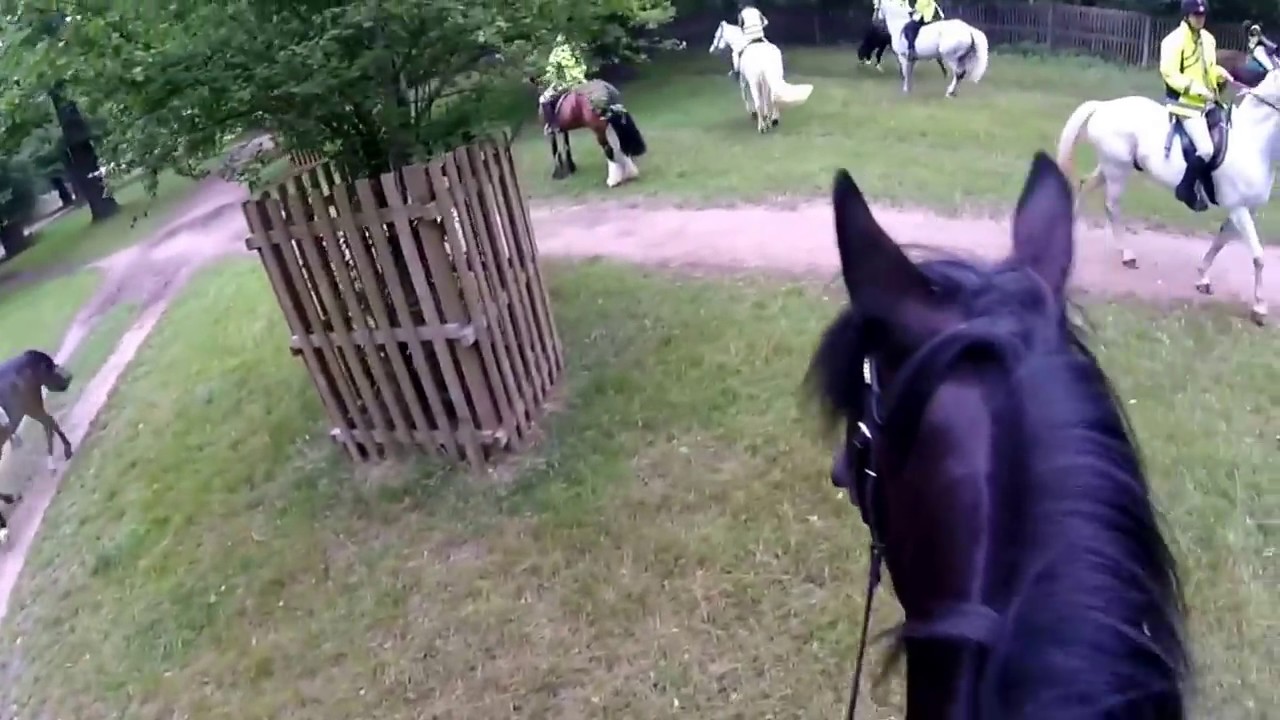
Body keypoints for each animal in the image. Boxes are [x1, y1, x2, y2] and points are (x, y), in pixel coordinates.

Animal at [0, 349, 74, 546]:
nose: (68, 378)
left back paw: (58, 459)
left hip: (31, 404)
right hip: (30, 407)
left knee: (48, 423)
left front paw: (3, 529)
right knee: (49, 422)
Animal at [1056, 68, 1280, 325]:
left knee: (1084, 186)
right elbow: (1258, 257)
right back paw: (1127, 255)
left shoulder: (1245, 210)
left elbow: (1220, 243)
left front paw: (1202, 278)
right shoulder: (1238, 209)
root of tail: (1104, 106)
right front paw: (1259, 308)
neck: (1251, 143)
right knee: (1112, 207)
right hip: (1117, 170)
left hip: (1109, 168)